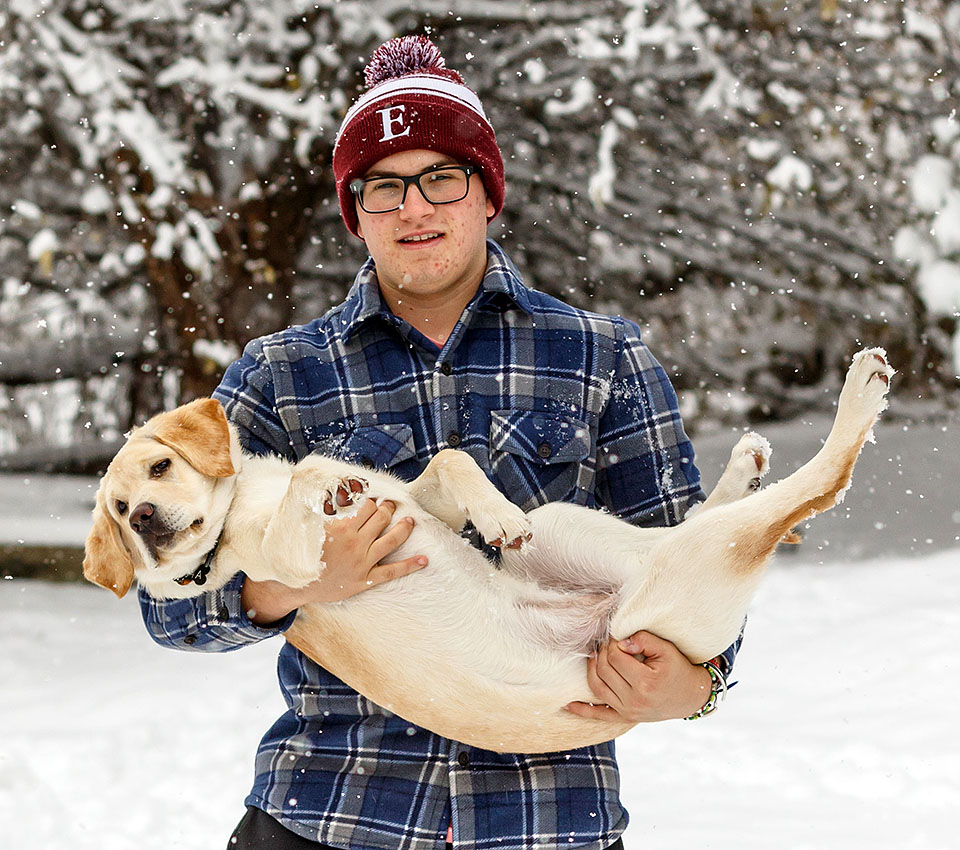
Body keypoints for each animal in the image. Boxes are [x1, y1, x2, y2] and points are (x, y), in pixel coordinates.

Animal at [82, 344, 892, 748]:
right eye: (119, 512)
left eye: (158, 469)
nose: (146, 520)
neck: (239, 512)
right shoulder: (296, 563)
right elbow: (315, 472)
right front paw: (332, 492)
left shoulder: (416, 499)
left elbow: (451, 461)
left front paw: (496, 514)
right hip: (679, 570)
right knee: (814, 487)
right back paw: (858, 395)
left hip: (567, 528)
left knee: (687, 518)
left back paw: (746, 463)